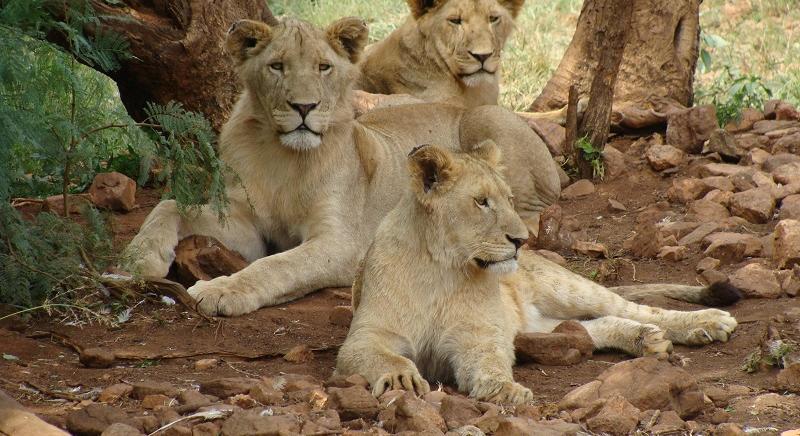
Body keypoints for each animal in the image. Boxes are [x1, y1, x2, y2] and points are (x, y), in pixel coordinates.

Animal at [123, 17, 564, 316]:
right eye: (277, 66)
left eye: (324, 67)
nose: (304, 107)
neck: (285, 158)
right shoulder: (245, 226)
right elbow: (169, 206)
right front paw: (137, 259)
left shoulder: (341, 243)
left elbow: (278, 265)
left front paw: (221, 291)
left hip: (486, 120)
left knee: (532, 215)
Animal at [334, 142, 740, 406]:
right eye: (481, 202)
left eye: (510, 200)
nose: (521, 240)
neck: (443, 268)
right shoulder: (366, 336)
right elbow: (387, 357)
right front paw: (401, 378)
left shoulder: (478, 334)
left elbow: (490, 361)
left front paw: (503, 390)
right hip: (535, 326)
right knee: (592, 327)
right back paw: (645, 339)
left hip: (567, 286)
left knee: (638, 309)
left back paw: (706, 323)